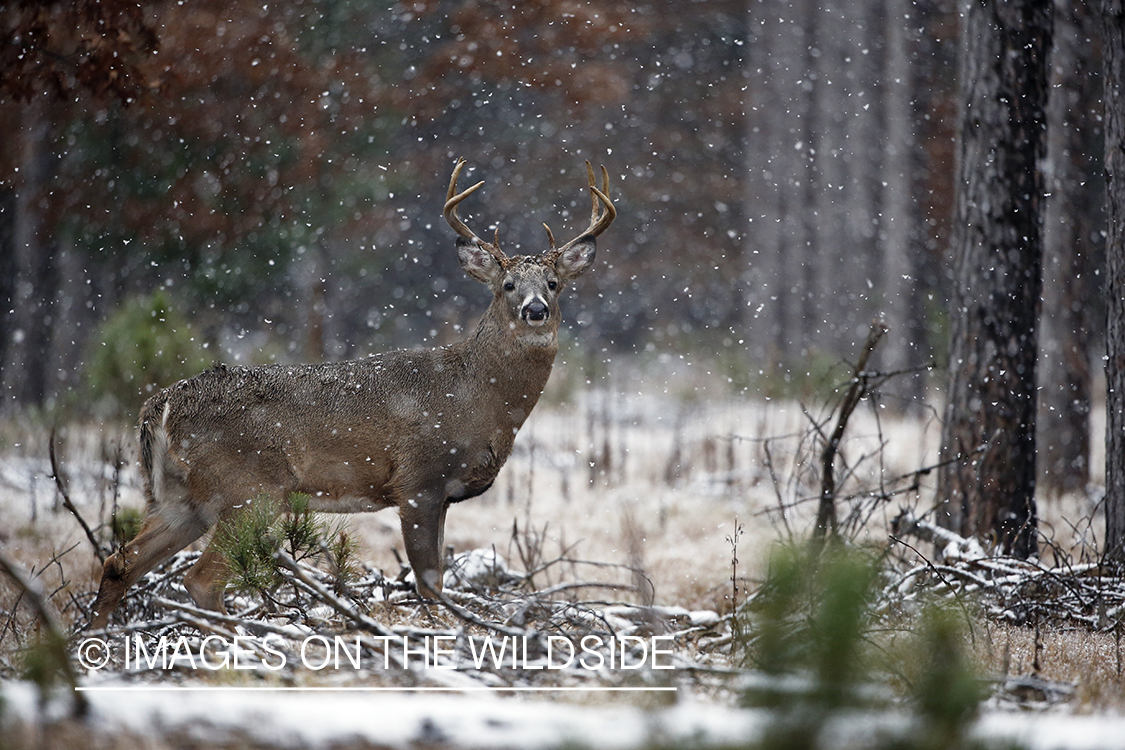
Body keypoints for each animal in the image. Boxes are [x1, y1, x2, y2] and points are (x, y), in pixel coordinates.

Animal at [90, 159, 616, 629]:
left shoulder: (441, 493)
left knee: (119, 563)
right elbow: (429, 582)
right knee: (201, 579)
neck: (473, 400)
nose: (535, 310)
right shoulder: (418, 480)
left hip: (178, 497)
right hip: (248, 490)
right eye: (507, 284)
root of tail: (160, 407)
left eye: (554, 283)